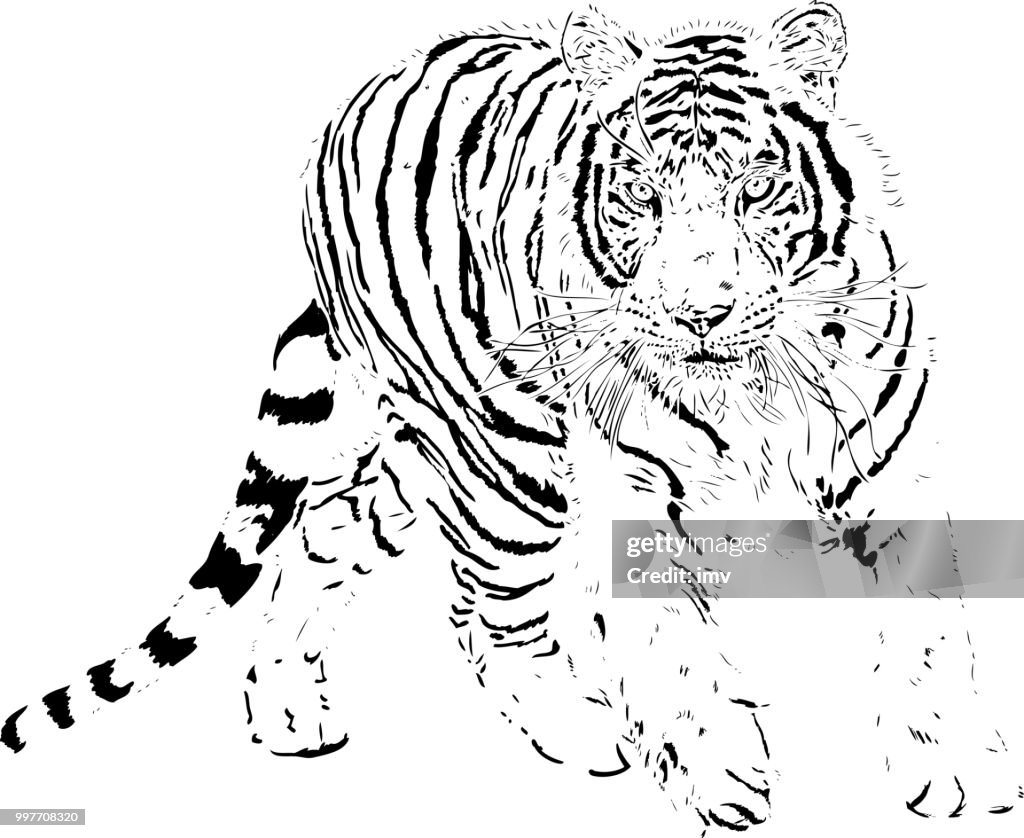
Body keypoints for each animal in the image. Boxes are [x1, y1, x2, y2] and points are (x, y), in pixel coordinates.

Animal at [2, 2, 1020, 832]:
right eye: (641, 195)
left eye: (755, 188)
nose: (700, 312)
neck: (749, 385)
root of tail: (364, 94)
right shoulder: (632, 491)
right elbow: (674, 646)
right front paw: (717, 778)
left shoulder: (888, 467)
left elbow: (929, 631)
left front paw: (960, 774)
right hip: (502, 466)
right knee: (486, 610)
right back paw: (579, 728)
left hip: (440, 466)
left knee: (327, 528)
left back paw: (288, 710)